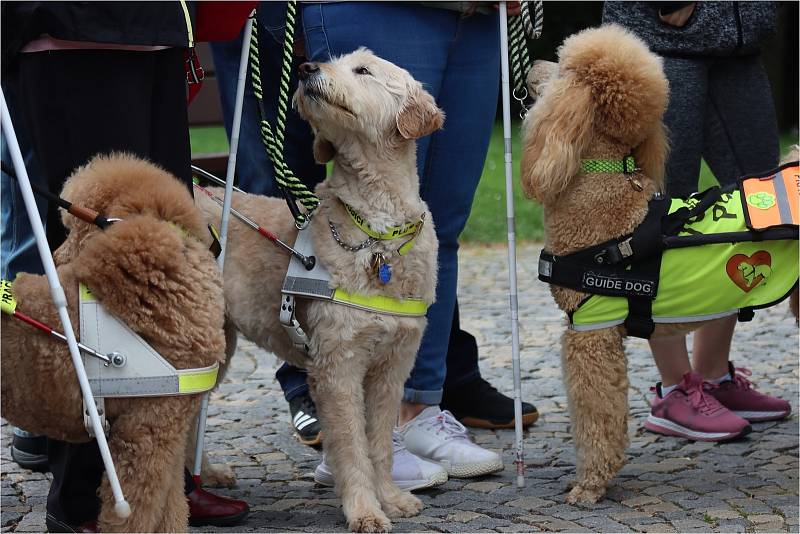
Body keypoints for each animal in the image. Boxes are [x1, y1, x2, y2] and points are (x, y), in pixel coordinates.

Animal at [195, 49, 444, 532]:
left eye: (363, 70)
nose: (307, 68)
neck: (377, 231)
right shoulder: (337, 365)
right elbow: (351, 445)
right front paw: (364, 509)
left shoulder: (392, 366)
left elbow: (380, 442)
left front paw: (391, 498)